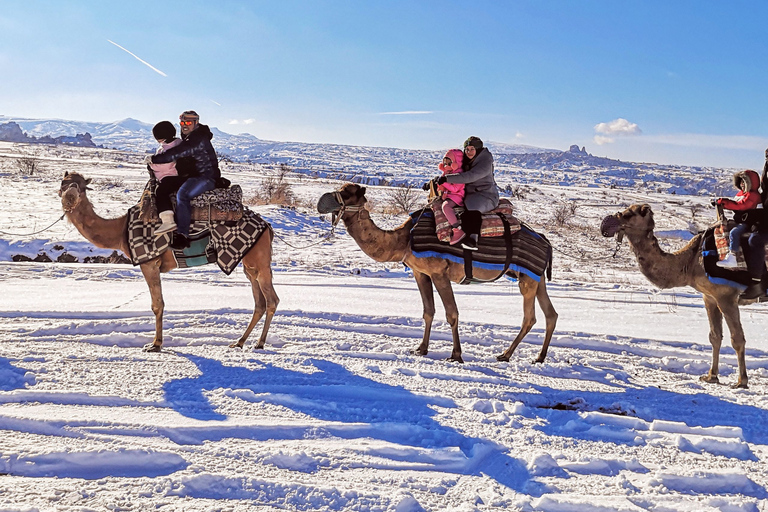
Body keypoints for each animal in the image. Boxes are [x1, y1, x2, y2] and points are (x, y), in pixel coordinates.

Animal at [58, 172, 280, 352]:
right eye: (63, 184)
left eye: (82, 187)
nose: (70, 196)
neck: (120, 231)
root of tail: (268, 227)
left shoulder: (149, 263)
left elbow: (157, 304)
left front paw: (155, 345)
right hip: (248, 263)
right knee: (259, 301)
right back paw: (239, 342)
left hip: (259, 260)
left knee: (271, 300)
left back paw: (259, 343)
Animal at [318, 184, 560, 364]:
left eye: (347, 193)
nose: (322, 202)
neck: (404, 240)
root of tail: (545, 241)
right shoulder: (420, 273)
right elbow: (428, 311)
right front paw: (421, 349)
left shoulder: (438, 272)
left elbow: (451, 313)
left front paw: (456, 355)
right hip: (535, 277)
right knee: (551, 314)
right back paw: (538, 357)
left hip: (527, 278)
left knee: (530, 317)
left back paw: (505, 354)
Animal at [600, 204, 752, 388]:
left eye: (628, 214)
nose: (606, 224)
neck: (690, 262)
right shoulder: (709, 296)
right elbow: (715, 336)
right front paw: (711, 376)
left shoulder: (726, 296)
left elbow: (737, 339)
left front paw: (741, 382)